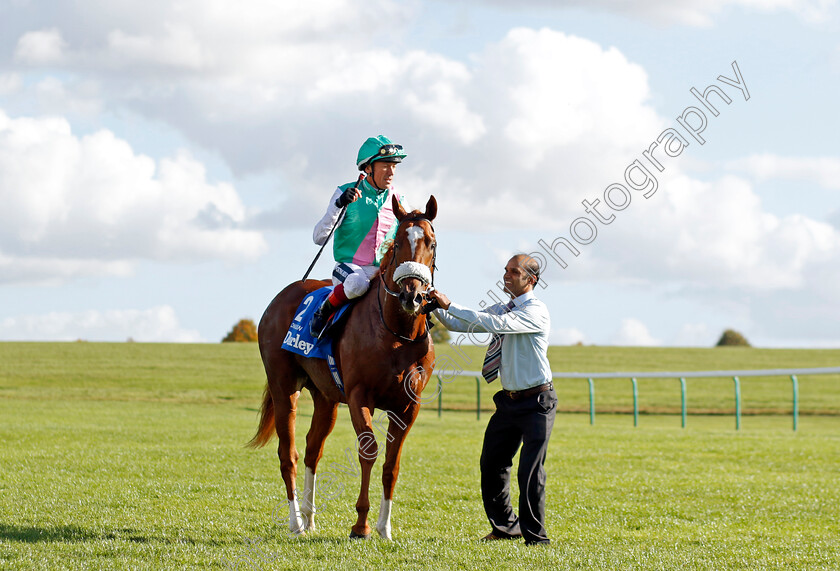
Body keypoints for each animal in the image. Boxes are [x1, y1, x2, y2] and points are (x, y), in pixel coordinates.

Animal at [246, 194, 436, 540]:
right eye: (398, 243)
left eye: (431, 242)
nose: (412, 295)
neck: (396, 334)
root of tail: (285, 293)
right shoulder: (361, 396)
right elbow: (369, 451)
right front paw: (361, 525)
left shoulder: (407, 405)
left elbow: (392, 463)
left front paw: (385, 528)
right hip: (284, 388)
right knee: (288, 454)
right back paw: (296, 522)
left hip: (326, 398)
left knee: (312, 449)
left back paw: (309, 518)